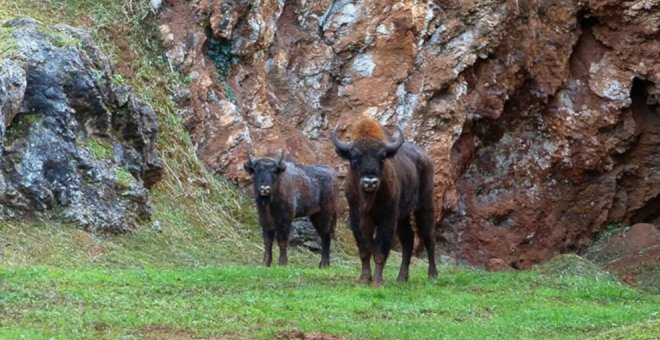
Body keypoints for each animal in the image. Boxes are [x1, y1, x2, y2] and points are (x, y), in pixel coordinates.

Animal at [330, 118, 438, 286]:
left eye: (381, 158)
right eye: (354, 158)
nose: (370, 182)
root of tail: (425, 157)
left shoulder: (387, 218)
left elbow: (380, 251)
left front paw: (377, 281)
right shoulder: (357, 218)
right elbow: (364, 249)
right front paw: (364, 279)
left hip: (425, 207)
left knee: (428, 237)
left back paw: (432, 275)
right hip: (403, 217)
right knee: (408, 239)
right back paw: (401, 278)